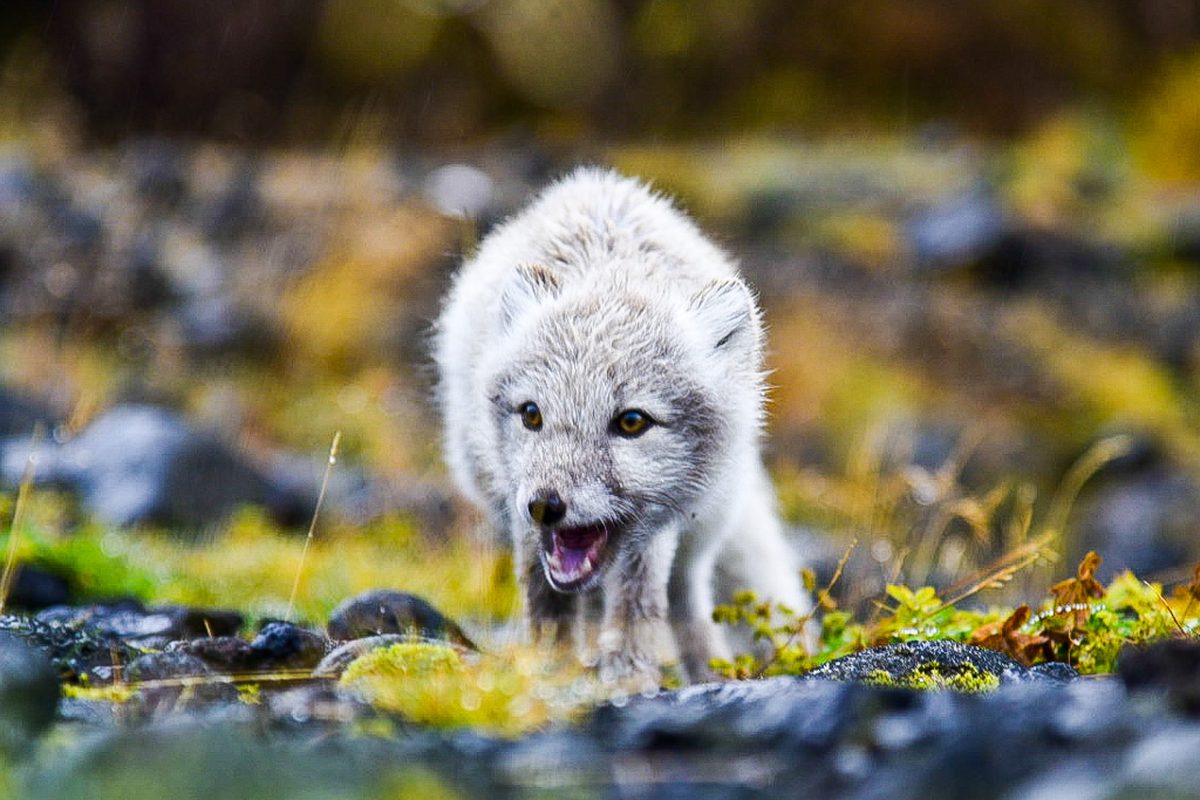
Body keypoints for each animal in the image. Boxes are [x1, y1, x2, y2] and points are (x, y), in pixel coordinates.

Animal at [433, 167, 809, 685]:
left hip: (706, 525)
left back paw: (707, 671)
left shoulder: (656, 532)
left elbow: (639, 601)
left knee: (686, 595)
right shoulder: (521, 516)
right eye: (532, 414)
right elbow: (544, 597)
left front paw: (629, 674)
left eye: (632, 422)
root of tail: (598, 183)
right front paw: (550, 669)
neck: (613, 270)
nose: (545, 505)